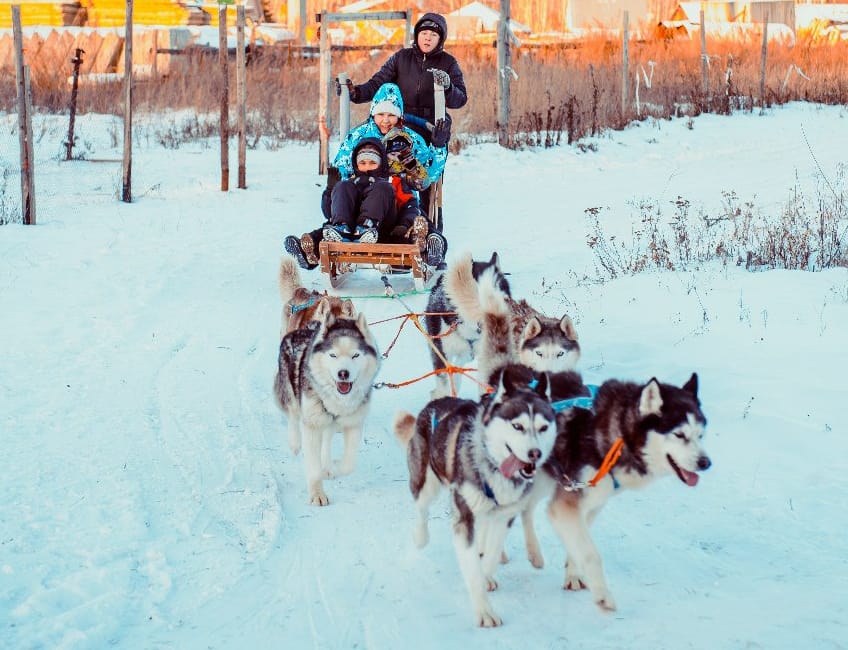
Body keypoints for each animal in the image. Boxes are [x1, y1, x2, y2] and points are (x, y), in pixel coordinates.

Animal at [396, 364, 560, 624]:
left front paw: (487, 574)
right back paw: (421, 536)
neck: (494, 466)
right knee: (421, 509)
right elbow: (472, 569)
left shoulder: (504, 516)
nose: (535, 453)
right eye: (517, 426)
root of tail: (436, 402)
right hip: (425, 482)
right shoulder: (464, 518)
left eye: (543, 427)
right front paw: (484, 611)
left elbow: (491, 554)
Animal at [532, 370, 712, 608]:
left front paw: (573, 574)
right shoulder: (566, 504)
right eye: (680, 435)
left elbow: (577, 544)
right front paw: (603, 596)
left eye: (700, 435)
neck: (617, 437)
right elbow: (590, 553)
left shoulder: (590, 503)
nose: (706, 463)